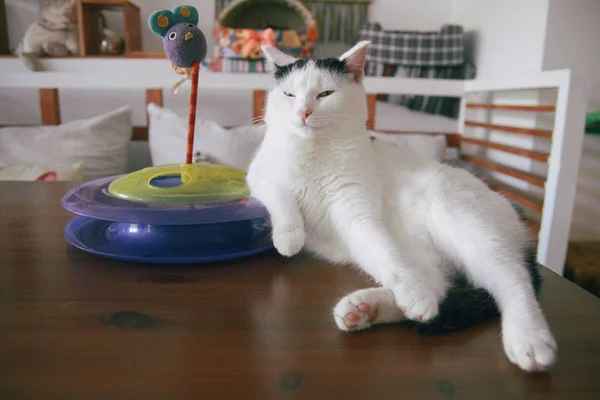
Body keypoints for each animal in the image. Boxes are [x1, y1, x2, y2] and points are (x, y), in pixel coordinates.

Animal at [247, 39, 556, 374]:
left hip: (467, 223)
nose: (303, 111)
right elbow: (281, 197)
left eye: (325, 94)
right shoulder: (258, 175)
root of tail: (512, 214)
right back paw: (366, 309)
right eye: (289, 94)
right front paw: (290, 237)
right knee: (436, 286)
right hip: (429, 251)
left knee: (513, 280)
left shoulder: (359, 216)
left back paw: (530, 338)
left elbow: (388, 256)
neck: (314, 152)